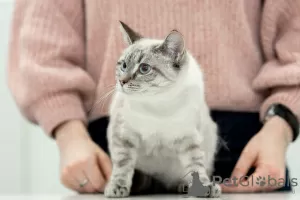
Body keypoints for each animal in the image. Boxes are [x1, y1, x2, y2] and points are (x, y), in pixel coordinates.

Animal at [104, 21, 221, 198]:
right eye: (123, 65)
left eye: (144, 68)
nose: (122, 81)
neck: (158, 103)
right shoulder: (123, 134)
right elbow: (122, 166)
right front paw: (117, 188)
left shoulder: (188, 137)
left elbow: (196, 165)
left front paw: (205, 187)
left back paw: (184, 186)